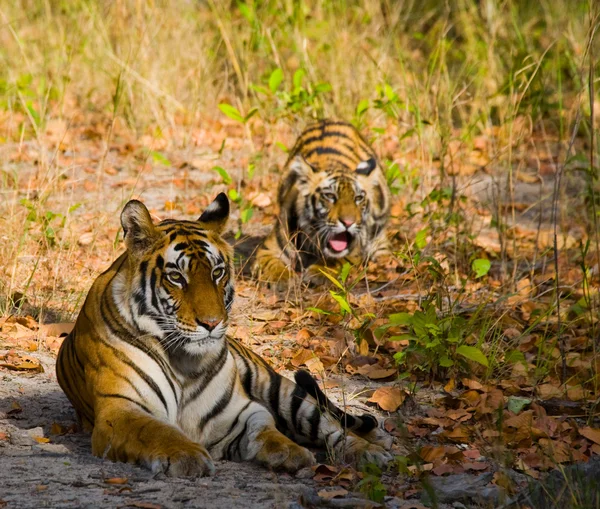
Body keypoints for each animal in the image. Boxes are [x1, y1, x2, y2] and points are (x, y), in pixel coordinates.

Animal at [57, 192, 394, 474]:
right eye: (176, 277)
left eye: (217, 273)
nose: (212, 323)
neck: (184, 362)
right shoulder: (122, 409)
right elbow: (157, 431)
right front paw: (187, 456)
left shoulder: (241, 411)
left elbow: (267, 430)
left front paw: (290, 452)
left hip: (283, 390)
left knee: (332, 426)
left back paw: (372, 450)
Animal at [254, 121, 392, 284]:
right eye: (330, 196)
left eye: (358, 198)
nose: (348, 223)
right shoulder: (268, 250)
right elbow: (271, 264)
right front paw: (281, 278)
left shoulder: (354, 250)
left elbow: (337, 259)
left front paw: (318, 273)